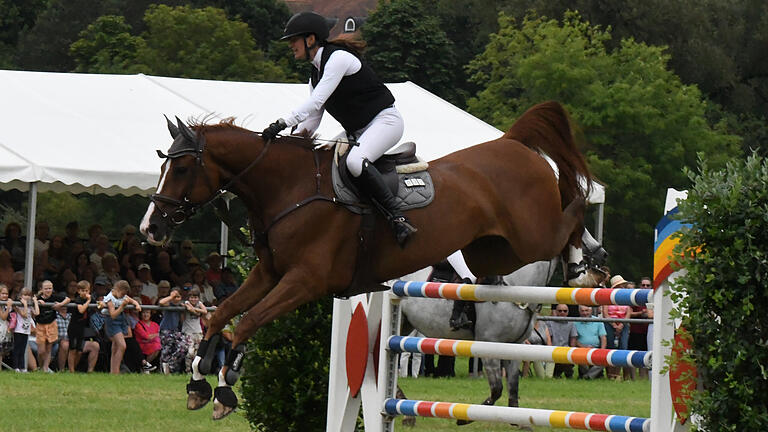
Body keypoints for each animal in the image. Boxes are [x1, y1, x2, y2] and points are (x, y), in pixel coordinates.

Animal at [140, 100, 592, 418]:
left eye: (181, 168)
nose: (151, 228)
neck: (290, 189)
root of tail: (512, 142)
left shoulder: (304, 281)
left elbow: (247, 321)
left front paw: (226, 386)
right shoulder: (270, 274)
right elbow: (221, 315)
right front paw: (199, 383)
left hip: (530, 237)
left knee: (572, 208)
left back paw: (583, 263)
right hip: (494, 251)